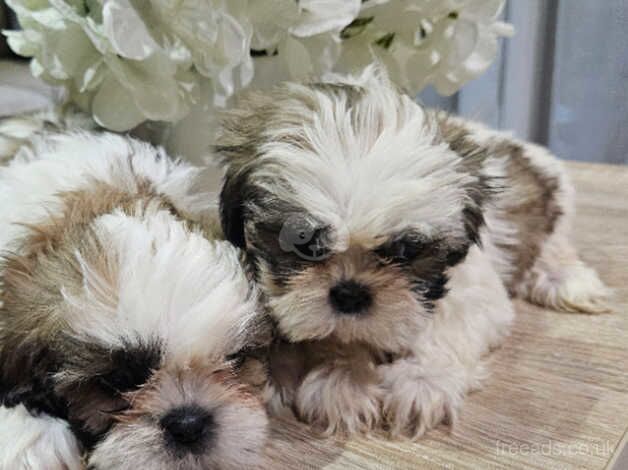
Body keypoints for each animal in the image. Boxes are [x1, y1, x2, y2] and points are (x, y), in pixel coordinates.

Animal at [213, 67, 612, 440]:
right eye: (305, 244)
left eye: (406, 250)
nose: (350, 293)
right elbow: (341, 336)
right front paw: (343, 379)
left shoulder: (473, 288)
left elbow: (447, 325)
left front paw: (423, 380)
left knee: (553, 247)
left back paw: (566, 279)